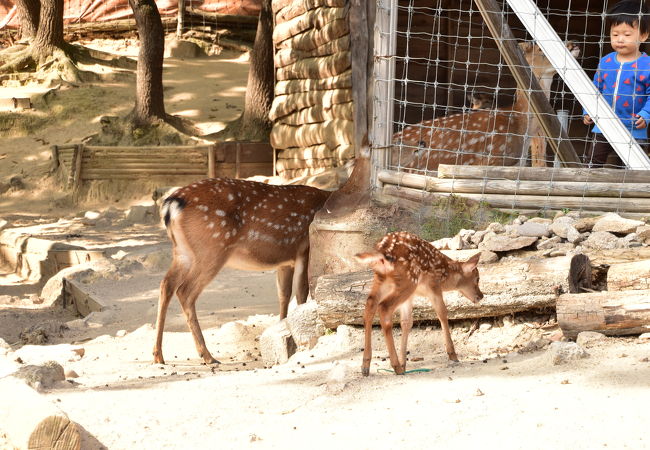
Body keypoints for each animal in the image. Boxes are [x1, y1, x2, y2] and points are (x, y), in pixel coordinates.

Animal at [153, 178, 330, 364]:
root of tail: (172, 204)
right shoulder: (305, 248)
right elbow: (302, 292)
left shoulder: (285, 262)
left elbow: (284, 294)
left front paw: (280, 331)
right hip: (211, 249)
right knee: (184, 291)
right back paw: (207, 355)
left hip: (183, 252)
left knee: (166, 285)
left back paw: (158, 355)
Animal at [354, 232, 480, 376]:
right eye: (477, 279)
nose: (481, 296)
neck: (445, 275)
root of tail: (382, 251)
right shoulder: (433, 286)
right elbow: (442, 313)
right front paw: (453, 355)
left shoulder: (411, 297)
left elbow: (406, 323)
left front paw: (404, 364)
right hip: (408, 280)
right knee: (384, 307)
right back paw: (395, 366)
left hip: (383, 279)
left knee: (370, 304)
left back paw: (366, 366)